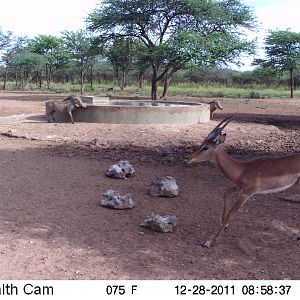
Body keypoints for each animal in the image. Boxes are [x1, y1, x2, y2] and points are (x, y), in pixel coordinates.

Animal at [186, 116, 298, 247]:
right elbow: (225, 192)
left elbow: (231, 215)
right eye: (202, 143)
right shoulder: (238, 188)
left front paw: (210, 241)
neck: (243, 169)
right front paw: (224, 224)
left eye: (206, 147)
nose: (188, 158)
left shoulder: (245, 195)